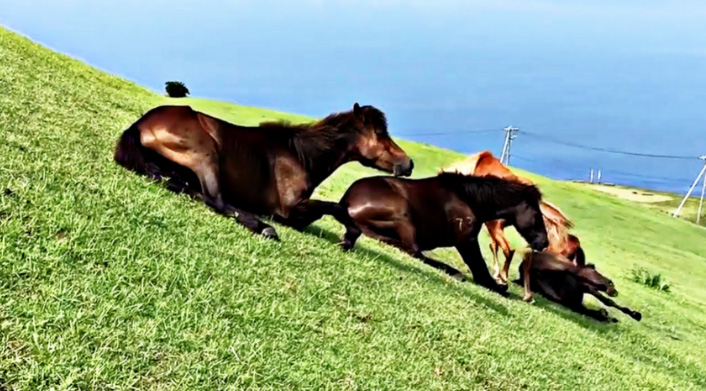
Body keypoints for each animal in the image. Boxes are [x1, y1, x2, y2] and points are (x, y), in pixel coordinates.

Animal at [112, 102, 410, 240]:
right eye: (380, 133)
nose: (408, 164)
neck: (300, 156)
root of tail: (142, 123)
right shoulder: (288, 210)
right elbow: (335, 207)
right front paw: (350, 237)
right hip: (206, 154)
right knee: (215, 199)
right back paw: (263, 228)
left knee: (184, 187)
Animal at [338, 173, 548, 298]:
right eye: (537, 215)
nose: (544, 242)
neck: (468, 199)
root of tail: (346, 201)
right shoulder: (467, 242)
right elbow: (481, 273)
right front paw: (500, 287)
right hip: (404, 212)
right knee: (414, 251)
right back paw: (454, 272)